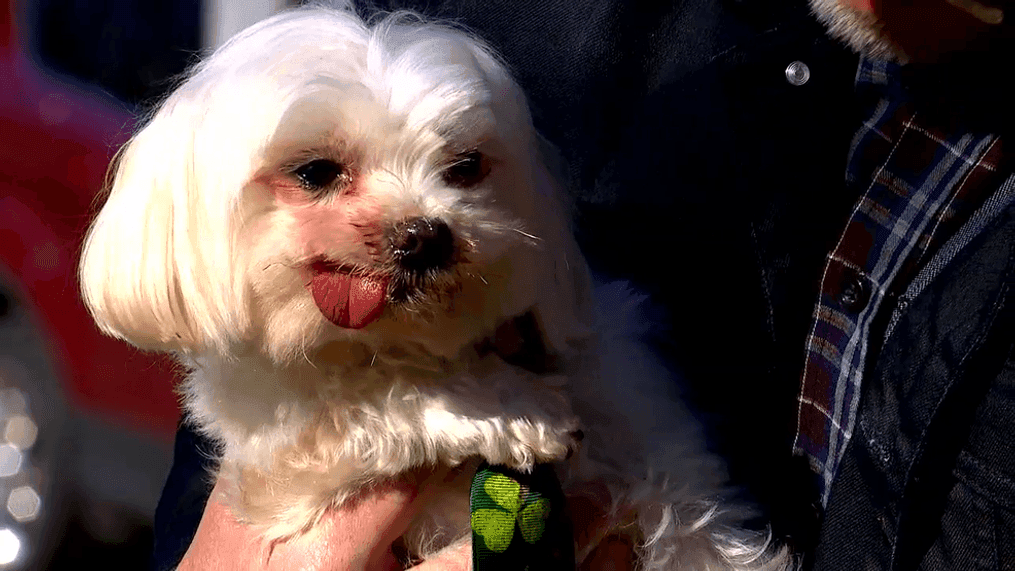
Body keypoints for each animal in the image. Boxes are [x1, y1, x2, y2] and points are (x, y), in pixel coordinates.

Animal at [81, 3, 791, 567]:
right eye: (316, 172)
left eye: (466, 165)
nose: (425, 235)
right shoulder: (283, 467)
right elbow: (367, 401)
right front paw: (510, 408)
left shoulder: (652, 447)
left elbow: (692, 526)